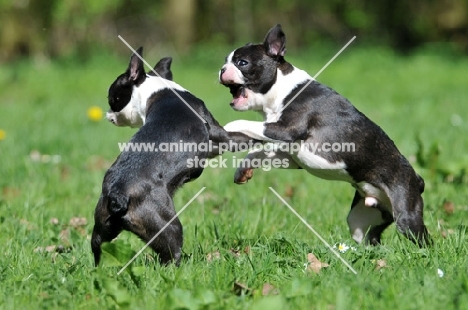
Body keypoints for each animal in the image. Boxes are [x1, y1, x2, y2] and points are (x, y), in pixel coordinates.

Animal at [90, 47, 254, 266]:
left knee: (97, 247)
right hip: (168, 226)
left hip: (102, 228)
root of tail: (118, 193)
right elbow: (249, 137)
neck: (156, 90)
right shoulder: (222, 137)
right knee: (171, 255)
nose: (108, 114)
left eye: (113, 99)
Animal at [219, 24, 432, 247]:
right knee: (370, 238)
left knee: (423, 240)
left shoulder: (287, 129)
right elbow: (258, 152)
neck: (282, 89)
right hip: (363, 217)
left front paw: (227, 127)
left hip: (406, 215)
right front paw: (242, 170)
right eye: (226, 61)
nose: (222, 69)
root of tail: (417, 178)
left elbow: (247, 124)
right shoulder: (292, 156)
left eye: (242, 63)